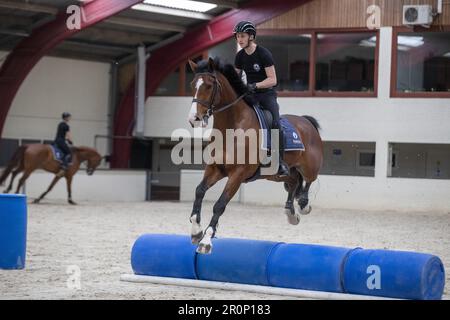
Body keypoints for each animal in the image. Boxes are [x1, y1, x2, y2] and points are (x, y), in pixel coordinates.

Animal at [187, 57, 324, 255]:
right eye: (192, 85)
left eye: (209, 86)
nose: (194, 118)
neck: (232, 127)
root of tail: (306, 121)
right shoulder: (215, 168)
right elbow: (199, 191)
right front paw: (196, 230)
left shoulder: (238, 174)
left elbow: (219, 204)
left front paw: (206, 240)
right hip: (277, 174)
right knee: (293, 183)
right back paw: (291, 213)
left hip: (309, 167)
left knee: (308, 181)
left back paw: (304, 205)